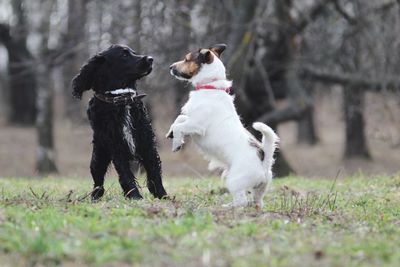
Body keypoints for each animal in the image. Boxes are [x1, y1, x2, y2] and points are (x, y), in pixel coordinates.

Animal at [71, 44, 166, 201]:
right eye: (124, 55)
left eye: (134, 52)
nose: (150, 59)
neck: (122, 99)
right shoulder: (116, 146)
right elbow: (125, 175)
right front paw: (135, 196)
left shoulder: (146, 142)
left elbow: (154, 171)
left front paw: (162, 195)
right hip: (99, 156)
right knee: (98, 181)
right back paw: (95, 197)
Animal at [166, 44, 278, 209]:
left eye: (187, 59)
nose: (170, 67)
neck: (210, 87)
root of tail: (264, 163)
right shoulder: (191, 119)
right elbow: (179, 119)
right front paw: (171, 133)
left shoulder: (196, 125)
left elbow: (180, 126)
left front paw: (176, 143)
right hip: (259, 190)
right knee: (257, 202)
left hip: (234, 181)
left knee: (241, 201)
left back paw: (228, 207)